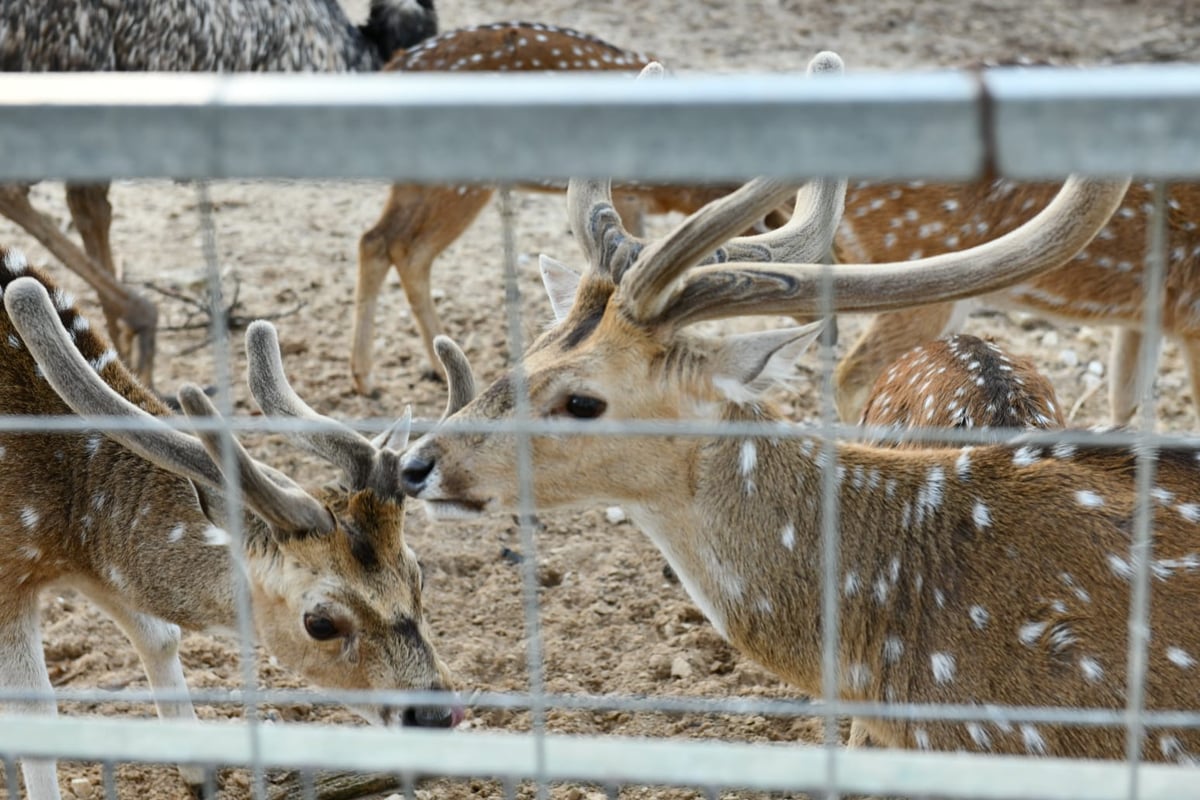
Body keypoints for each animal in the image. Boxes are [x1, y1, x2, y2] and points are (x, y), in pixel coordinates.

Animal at [0, 250, 458, 800]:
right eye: (319, 622)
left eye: (420, 574)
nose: (436, 716)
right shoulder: (9, 569)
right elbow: (35, 717)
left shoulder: (93, 563)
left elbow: (160, 636)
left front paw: (200, 773)